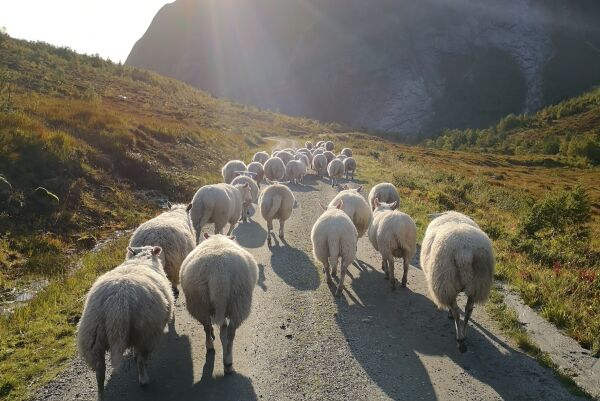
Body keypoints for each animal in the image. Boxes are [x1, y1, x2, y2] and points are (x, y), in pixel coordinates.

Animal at [77, 245, 171, 398]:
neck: (141, 260)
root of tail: (117, 302)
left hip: (92, 337)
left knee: (99, 373)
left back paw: (101, 395)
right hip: (145, 333)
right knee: (141, 359)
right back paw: (143, 379)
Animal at [182, 233, 258, 374]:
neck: (217, 239)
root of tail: (219, 273)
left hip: (200, 303)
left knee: (208, 327)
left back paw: (211, 346)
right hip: (238, 302)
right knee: (230, 333)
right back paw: (228, 362)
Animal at [420, 212, 494, 350]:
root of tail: (464, 252)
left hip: (446, 282)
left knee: (456, 312)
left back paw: (459, 337)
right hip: (478, 283)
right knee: (468, 310)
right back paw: (463, 333)